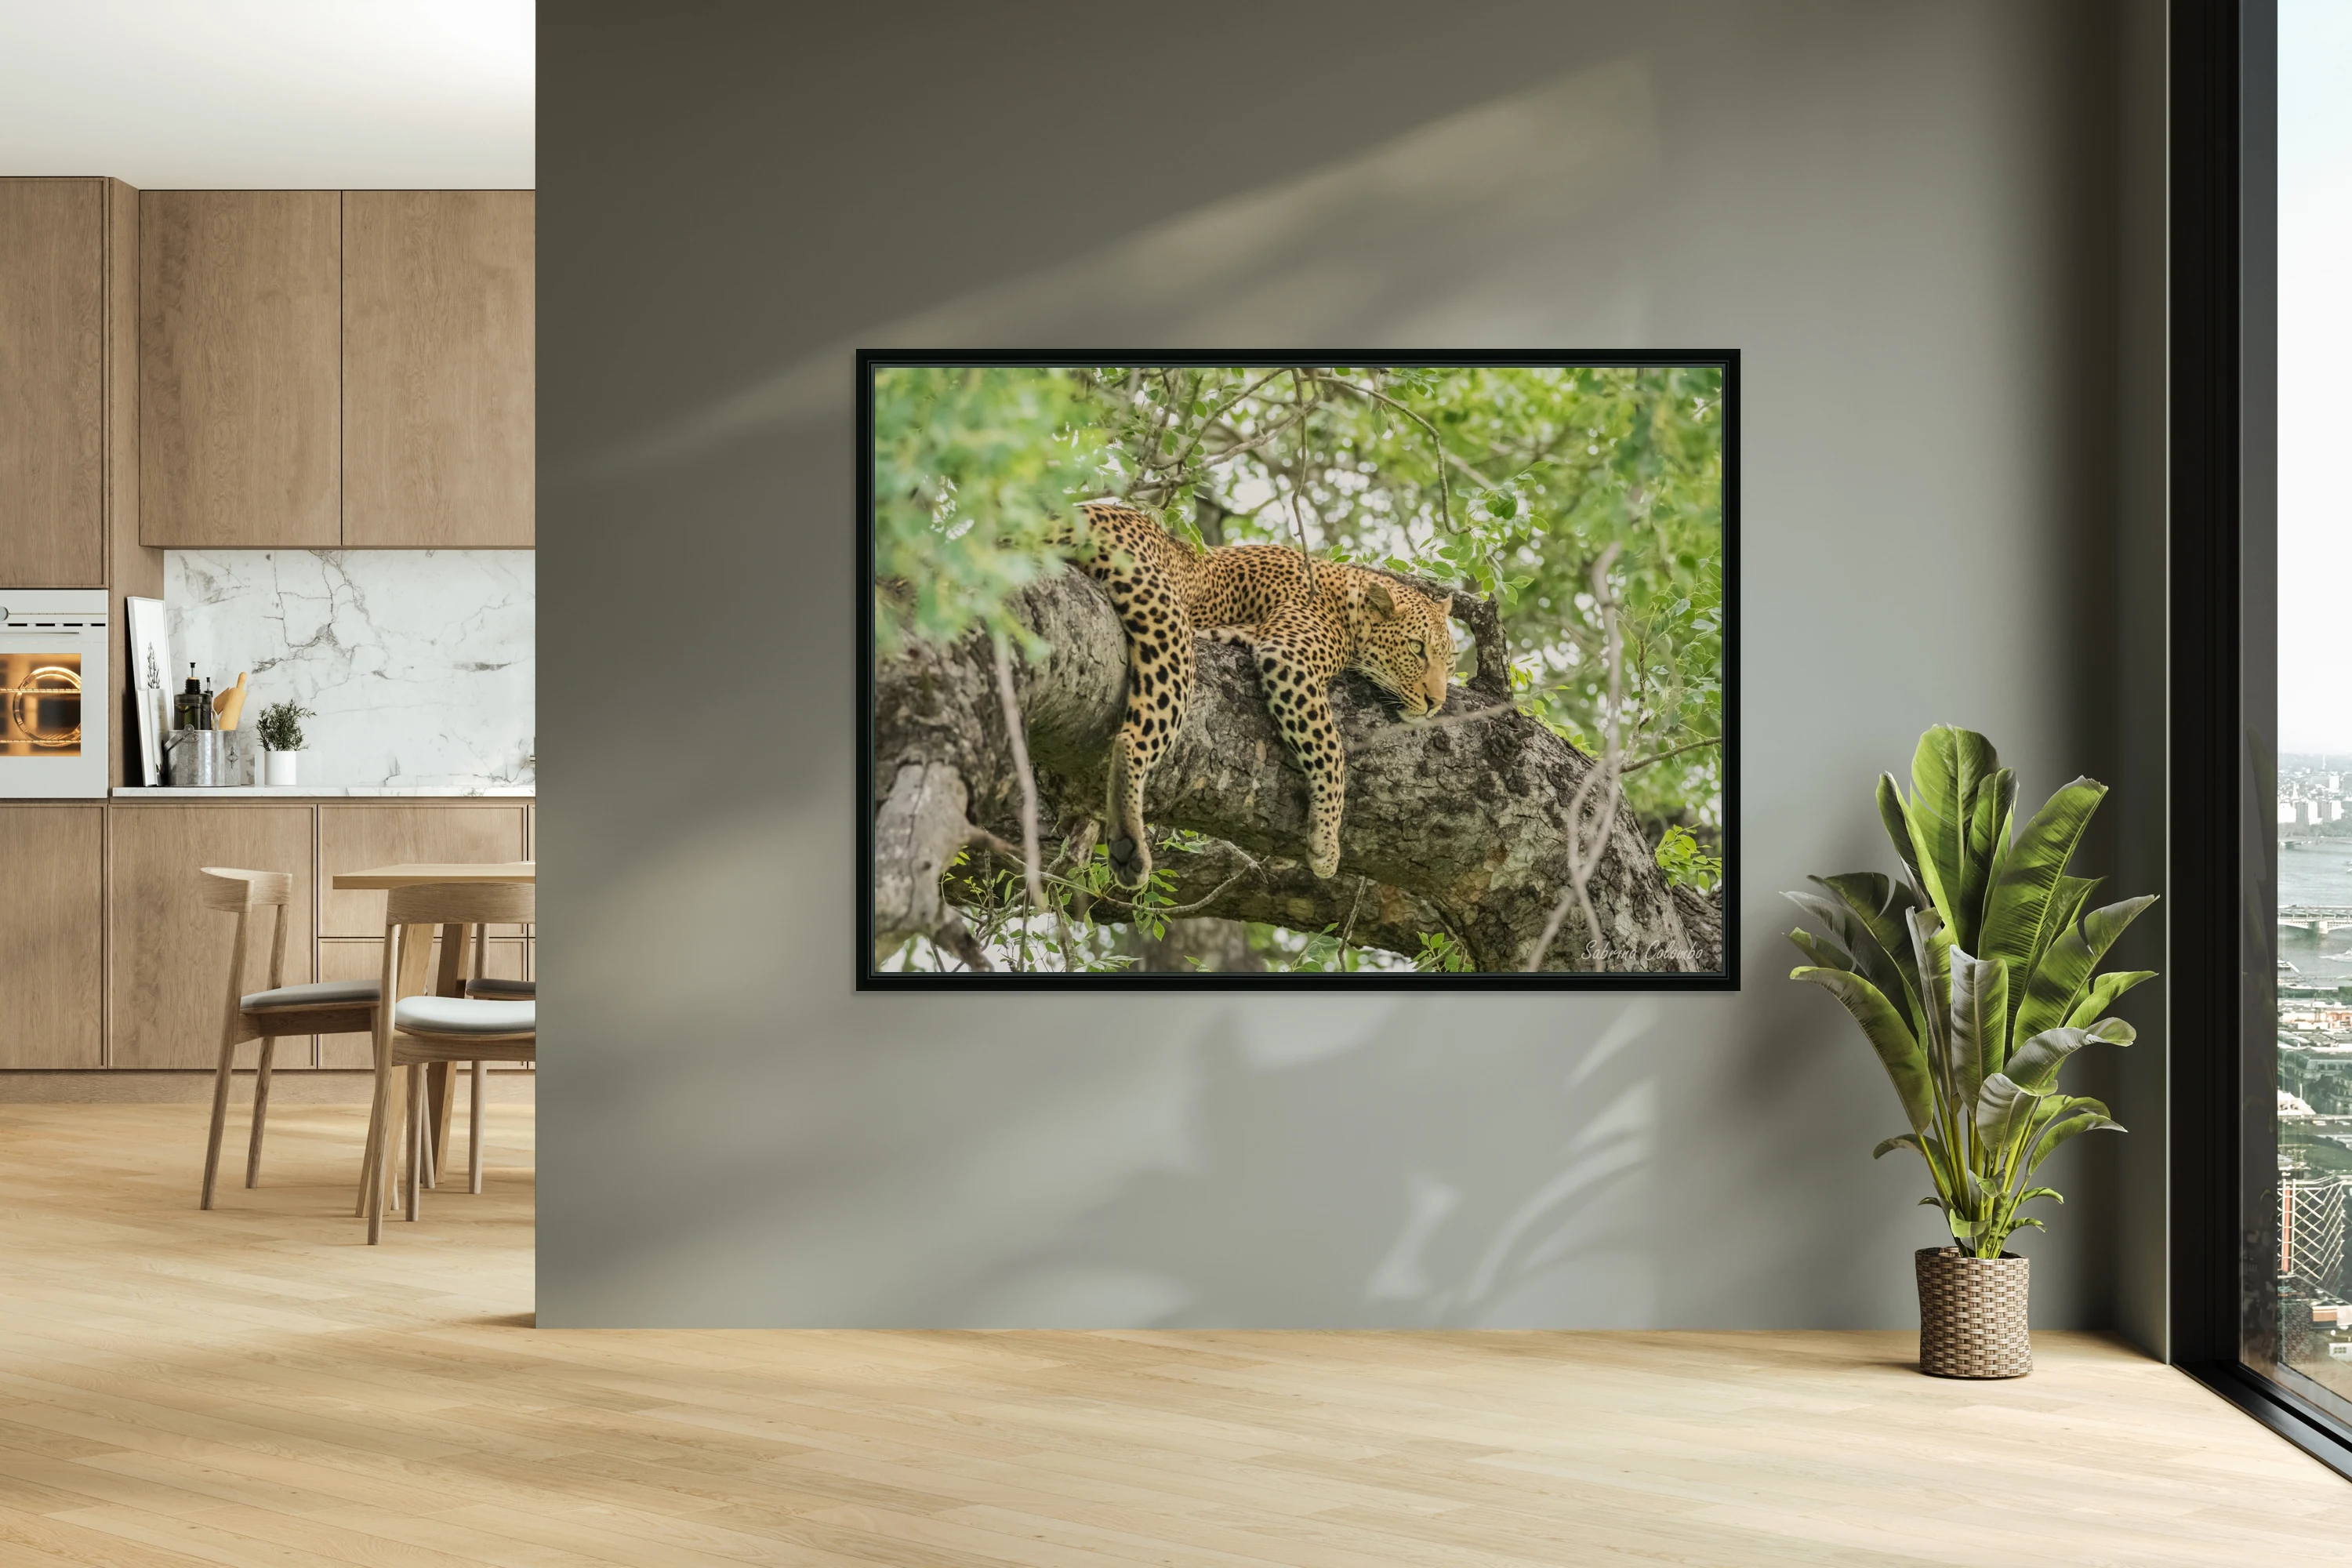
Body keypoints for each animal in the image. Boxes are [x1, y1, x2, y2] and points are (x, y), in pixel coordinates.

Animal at [1067, 500, 1456, 890]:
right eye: (1416, 649)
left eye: (1449, 661)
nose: (1435, 703)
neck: (1347, 600)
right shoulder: (1289, 657)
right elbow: (1331, 750)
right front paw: (1326, 841)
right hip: (1165, 616)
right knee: (1133, 736)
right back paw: (1129, 846)